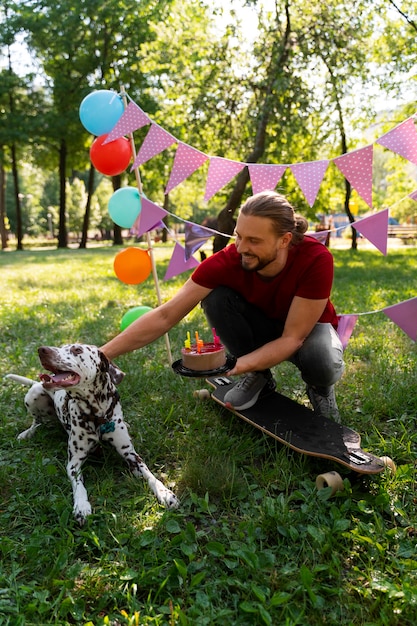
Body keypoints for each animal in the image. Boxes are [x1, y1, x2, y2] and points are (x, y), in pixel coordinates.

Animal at [6, 342, 179, 520]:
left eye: (77, 350)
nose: (42, 350)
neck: (97, 415)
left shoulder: (130, 454)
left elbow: (149, 474)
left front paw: (164, 493)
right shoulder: (73, 463)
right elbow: (79, 486)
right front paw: (81, 506)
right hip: (33, 396)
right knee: (37, 421)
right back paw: (27, 433)